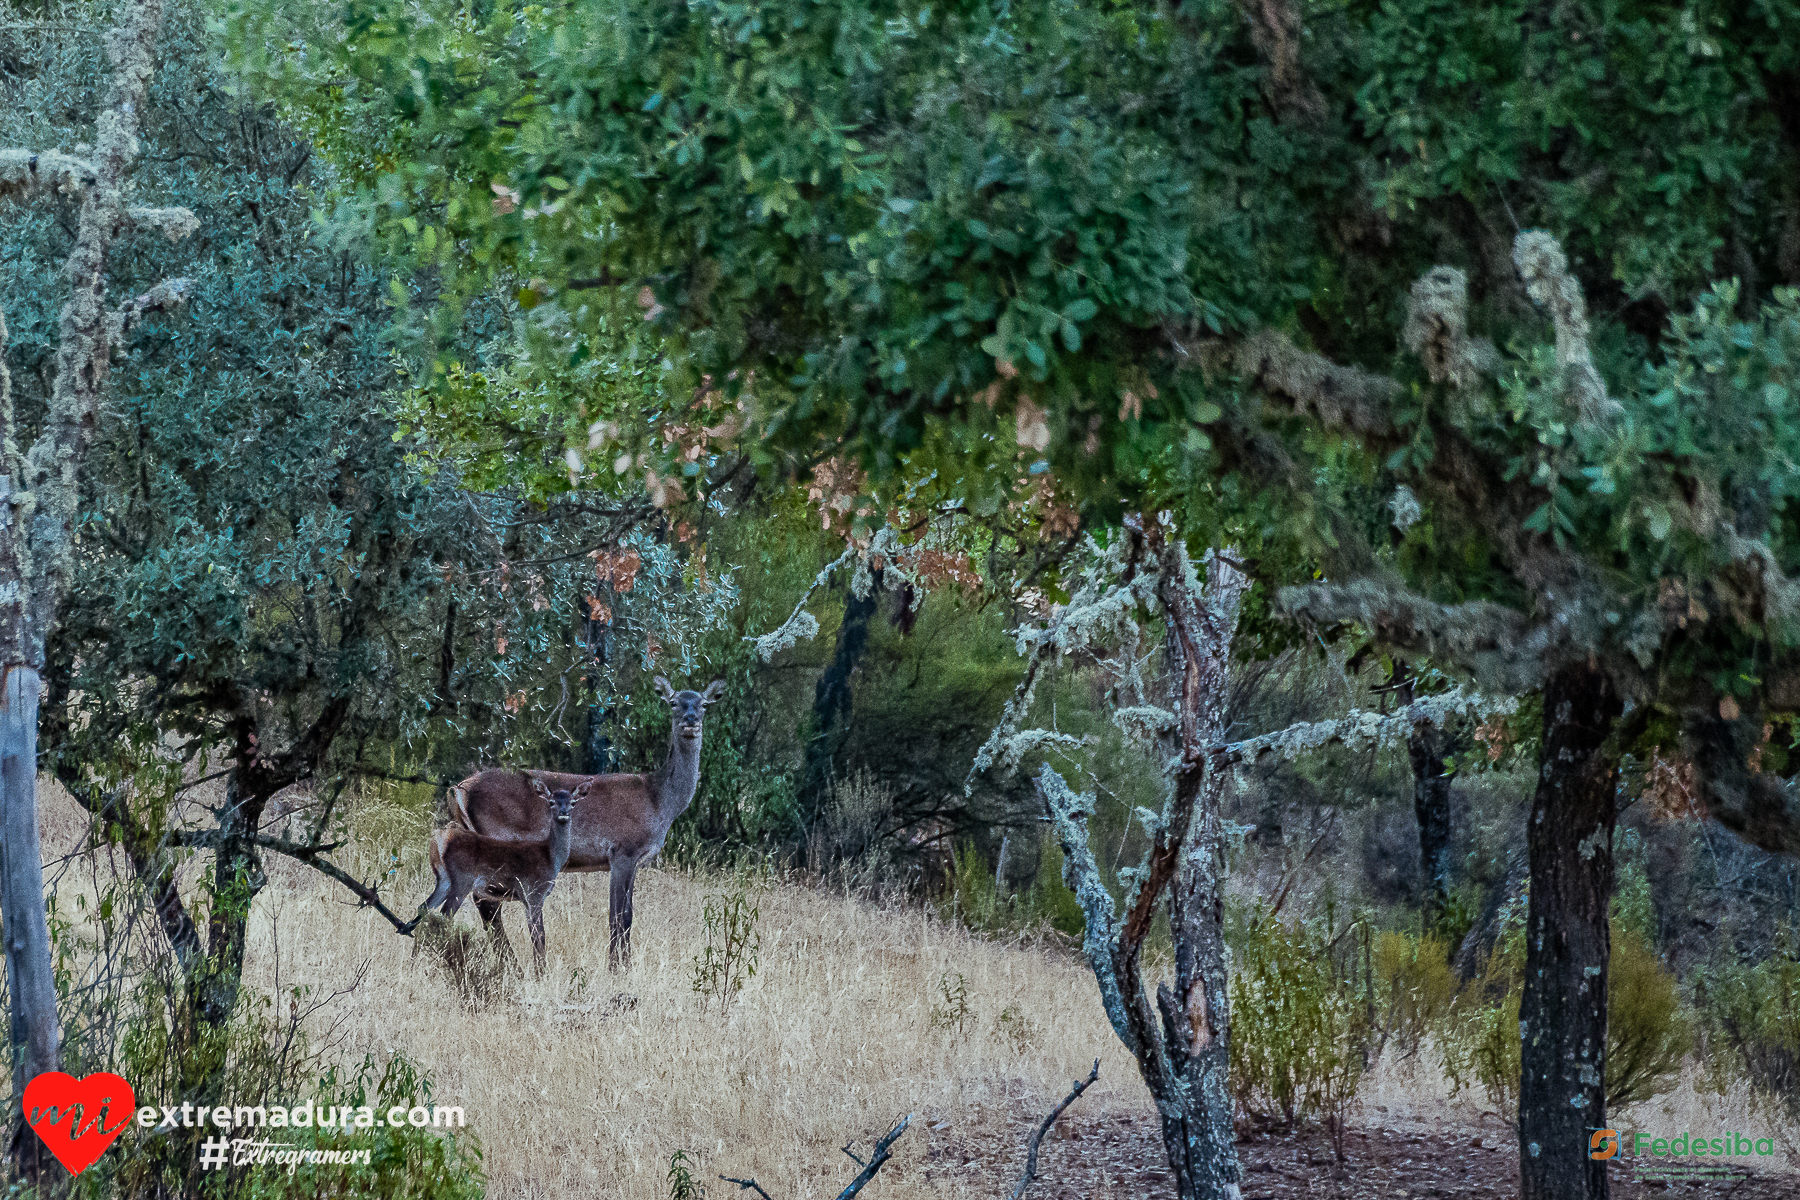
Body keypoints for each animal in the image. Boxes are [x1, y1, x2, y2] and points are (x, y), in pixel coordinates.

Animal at [412, 780, 586, 978]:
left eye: (573, 802)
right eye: (551, 802)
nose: (563, 813)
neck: (550, 857)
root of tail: (440, 840)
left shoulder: (526, 899)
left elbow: (535, 934)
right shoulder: (534, 891)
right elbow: (539, 935)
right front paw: (541, 974)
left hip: (443, 879)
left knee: (423, 908)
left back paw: (413, 963)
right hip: (461, 879)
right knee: (444, 916)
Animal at [444, 680, 723, 971]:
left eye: (704, 704)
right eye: (673, 702)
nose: (690, 721)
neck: (659, 801)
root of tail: (458, 790)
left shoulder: (632, 859)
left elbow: (626, 914)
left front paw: (621, 964)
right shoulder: (623, 850)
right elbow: (619, 916)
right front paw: (617, 968)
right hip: (496, 838)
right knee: (485, 902)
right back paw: (513, 965)